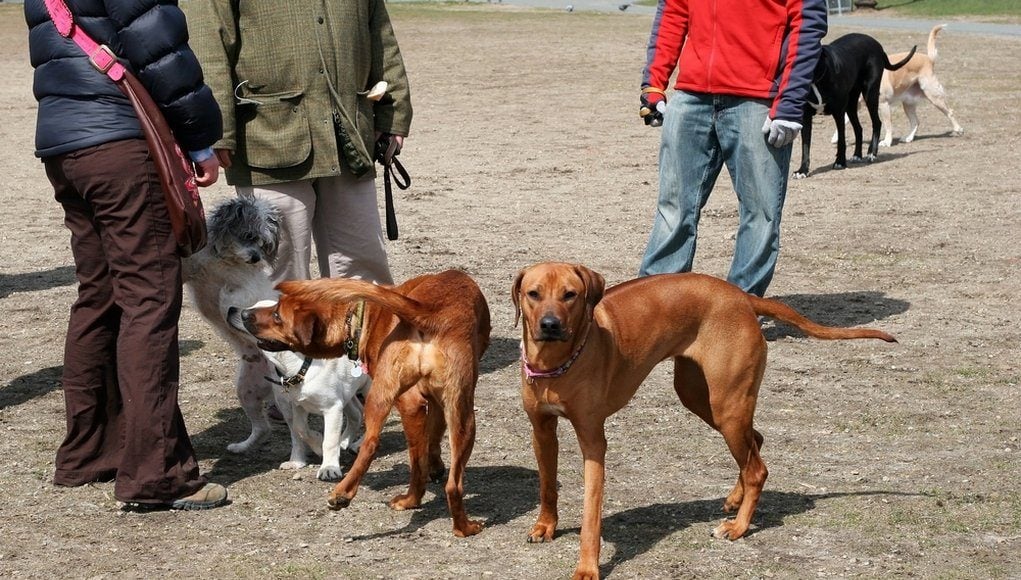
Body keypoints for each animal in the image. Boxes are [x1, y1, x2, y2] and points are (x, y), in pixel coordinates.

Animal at [240, 269, 492, 535]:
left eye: (277, 314)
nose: (244, 313)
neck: (360, 318)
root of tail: (429, 312)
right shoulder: (428, 400)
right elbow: (432, 439)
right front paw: (435, 466)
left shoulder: (428, 400)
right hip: (441, 408)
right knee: (424, 469)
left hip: (424, 405)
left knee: (387, 449)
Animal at [510, 263, 894, 580]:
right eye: (534, 294)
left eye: (570, 295)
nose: (550, 325)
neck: (555, 366)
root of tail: (742, 296)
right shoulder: (540, 430)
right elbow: (547, 485)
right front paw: (545, 526)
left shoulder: (593, 441)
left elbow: (591, 514)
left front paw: (587, 568)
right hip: (701, 396)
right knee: (756, 441)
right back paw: (736, 499)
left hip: (725, 404)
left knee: (757, 468)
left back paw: (737, 527)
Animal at [792, 33, 914, 177]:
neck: (816, 79)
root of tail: (876, 43)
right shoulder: (806, 117)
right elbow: (805, 145)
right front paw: (802, 170)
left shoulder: (838, 112)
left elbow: (841, 139)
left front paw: (840, 162)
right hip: (850, 104)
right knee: (858, 128)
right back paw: (857, 155)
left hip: (870, 94)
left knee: (877, 122)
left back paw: (871, 153)